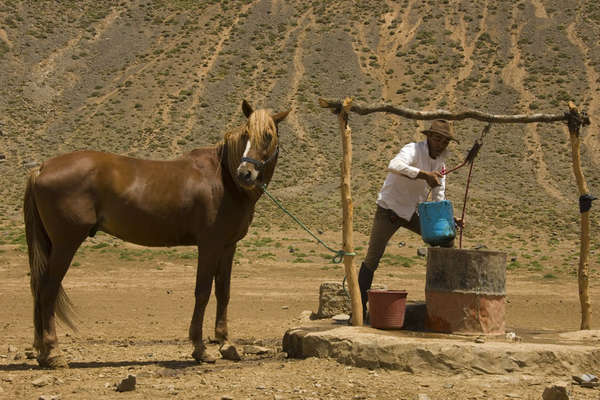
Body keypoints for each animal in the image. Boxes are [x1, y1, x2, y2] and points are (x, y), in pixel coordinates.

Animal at [24, 100, 292, 368]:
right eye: (246, 134)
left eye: (268, 136)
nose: (245, 173)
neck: (224, 179)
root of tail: (41, 168)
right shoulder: (209, 245)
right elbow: (202, 292)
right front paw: (200, 348)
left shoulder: (228, 246)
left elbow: (223, 292)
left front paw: (227, 344)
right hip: (65, 244)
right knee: (47, 290)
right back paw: (54, 353)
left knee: (39, 289)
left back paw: (42, 352)